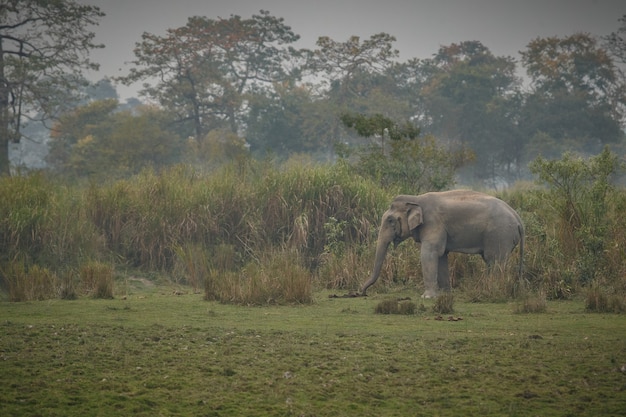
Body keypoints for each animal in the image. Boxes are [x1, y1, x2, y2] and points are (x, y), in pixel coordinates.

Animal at [358, 190, 524, 298]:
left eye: (390, 220)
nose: (362, 292)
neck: (416, 199)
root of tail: (518, 218)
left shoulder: (433, 223)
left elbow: (429, 254)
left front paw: (427, 297)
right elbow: (442, 256)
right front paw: (445, 295)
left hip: (500, 234)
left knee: (495, 261)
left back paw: (492, 291)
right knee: (492, 262)